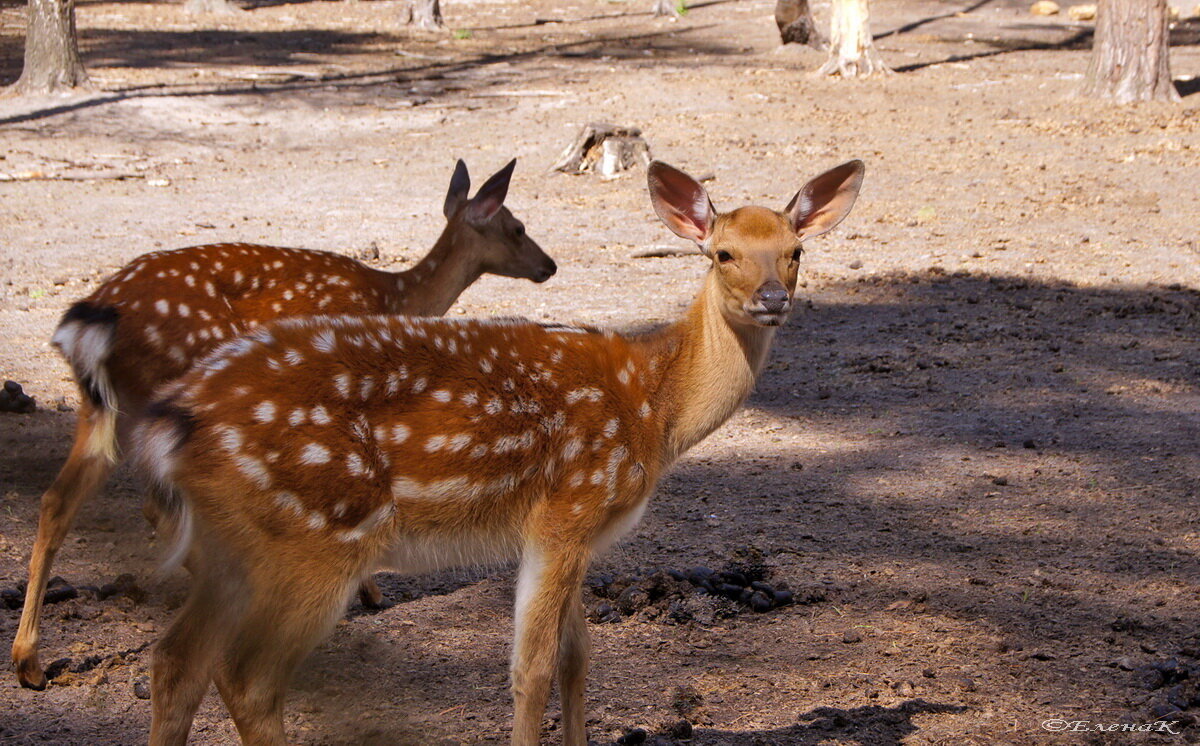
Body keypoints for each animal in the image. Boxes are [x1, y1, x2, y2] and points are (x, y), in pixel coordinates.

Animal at [11, 160, 554, 690]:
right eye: (518, 227)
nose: (549, 266)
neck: (397, 298)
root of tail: (89, 320)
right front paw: (368, 587)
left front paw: (369, 589)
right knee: (155, 509)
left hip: (101, 406)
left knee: (58, 500)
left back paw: (29, 663)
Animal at [131, 159, 864, 746]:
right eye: (722, 254)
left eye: (797, 250)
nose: (772, 298)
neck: (655, 408)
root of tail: (175, 419)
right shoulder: (568, 509)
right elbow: (530, 669)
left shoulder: (575, 532)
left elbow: (577, 658)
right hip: (317, 535)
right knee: (247, 678)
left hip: (234, 544)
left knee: (175, 661)